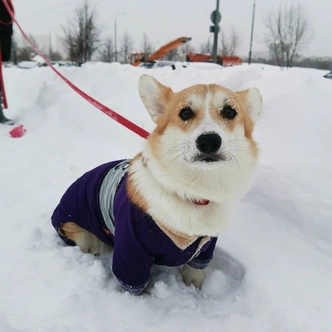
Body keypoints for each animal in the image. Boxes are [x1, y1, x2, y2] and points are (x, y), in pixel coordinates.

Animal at [51, 74, 262, 294]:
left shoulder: (205, 247)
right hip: (82, 233)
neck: (192, 193)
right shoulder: (130, 248)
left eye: (230, 112)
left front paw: (195, 288)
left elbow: (195, 270)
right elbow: (133, 283)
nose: (209, 141)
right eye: (185, 112)